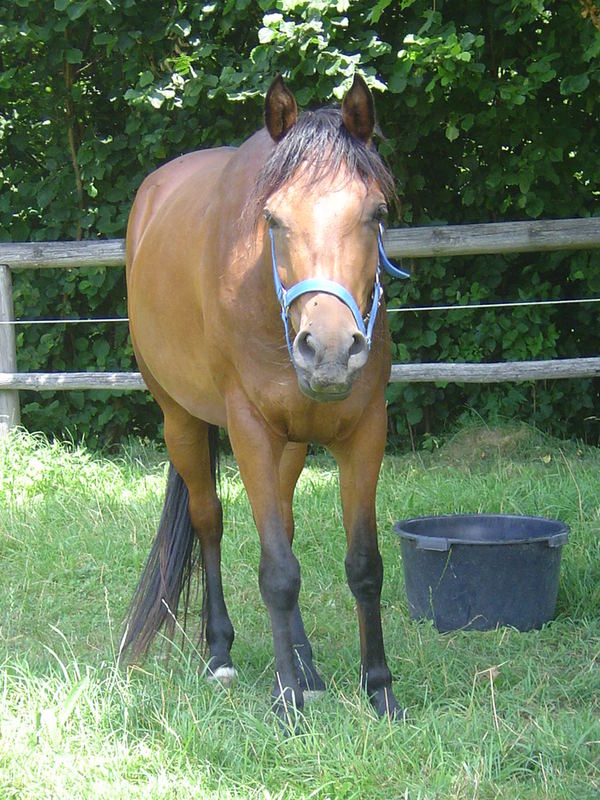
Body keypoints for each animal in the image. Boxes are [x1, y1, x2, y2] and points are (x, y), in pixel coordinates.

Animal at [122, 75, 404, 720]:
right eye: (272, 218)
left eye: (376, 212)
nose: (329, 350)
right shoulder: (250, 429)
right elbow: (277, 572)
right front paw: (287, 699)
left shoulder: (364, 430)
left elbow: (364, 565)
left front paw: (378, 689)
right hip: (180, 423)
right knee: (210, 522)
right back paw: (222, 654)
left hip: (292, 444)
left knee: (286, 523)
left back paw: (307, 664)